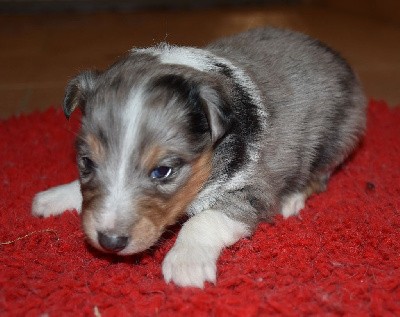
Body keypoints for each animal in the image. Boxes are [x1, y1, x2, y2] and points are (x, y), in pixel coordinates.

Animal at [32, 27, 368, 286]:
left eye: (163, 171)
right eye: (87, 162)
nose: (110, 242)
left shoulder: (250, 192)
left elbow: (203, 219)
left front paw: (185, 264)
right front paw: (53, 197)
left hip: (338, 136)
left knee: (319, 174)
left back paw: (292, 197)